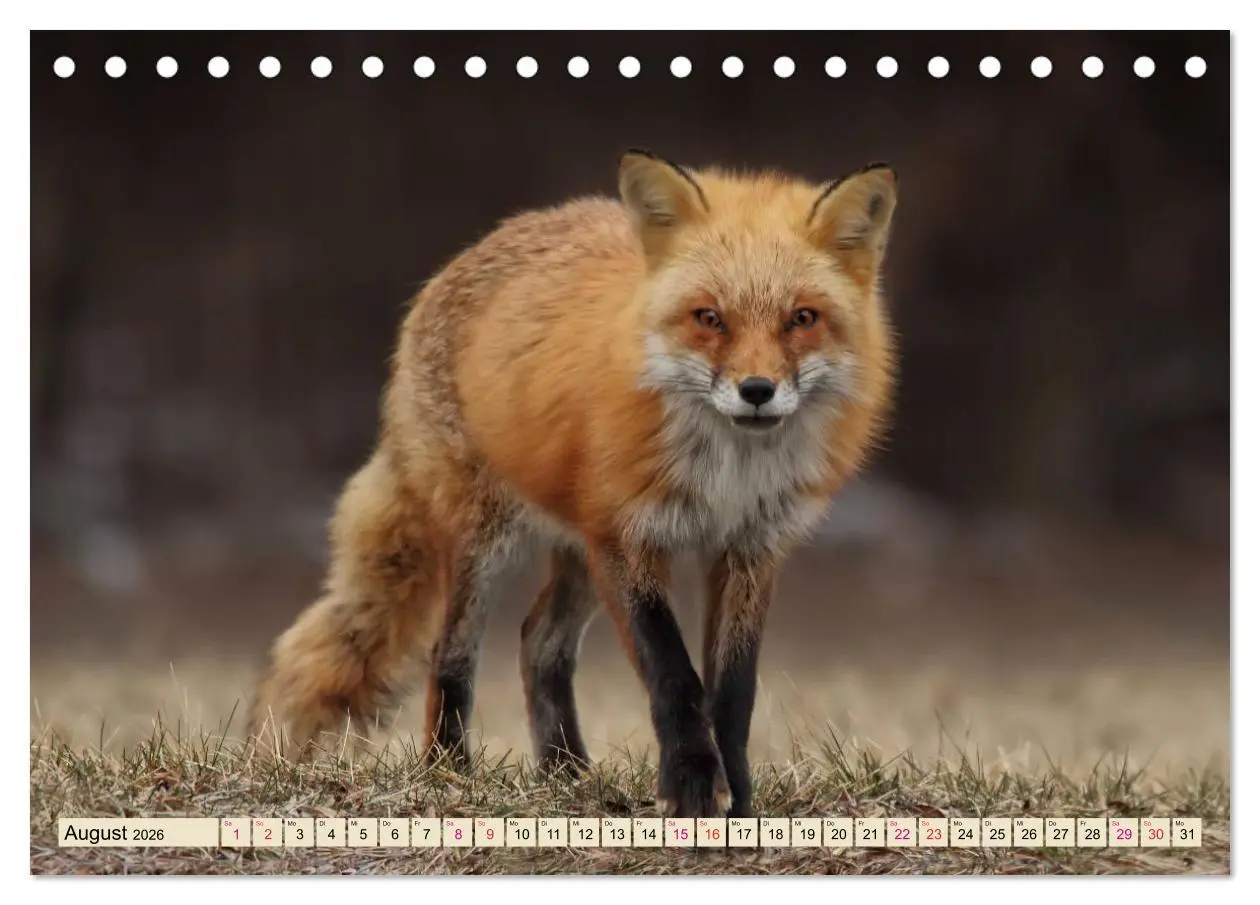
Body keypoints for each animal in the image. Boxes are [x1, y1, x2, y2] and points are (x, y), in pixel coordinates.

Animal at [248, 149, 898, 818]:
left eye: (803, 319)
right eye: (710, 319)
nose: (757, 391)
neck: (727, 472)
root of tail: (473, 251)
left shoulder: (750, 549)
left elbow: (733, 694)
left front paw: (738, 801)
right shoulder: (627, 537)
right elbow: (674, 676)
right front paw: (691, 787)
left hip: (579, 551)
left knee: (538, 642)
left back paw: (566, 773)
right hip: (491, 540)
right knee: (449, 653)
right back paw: (449, 771)